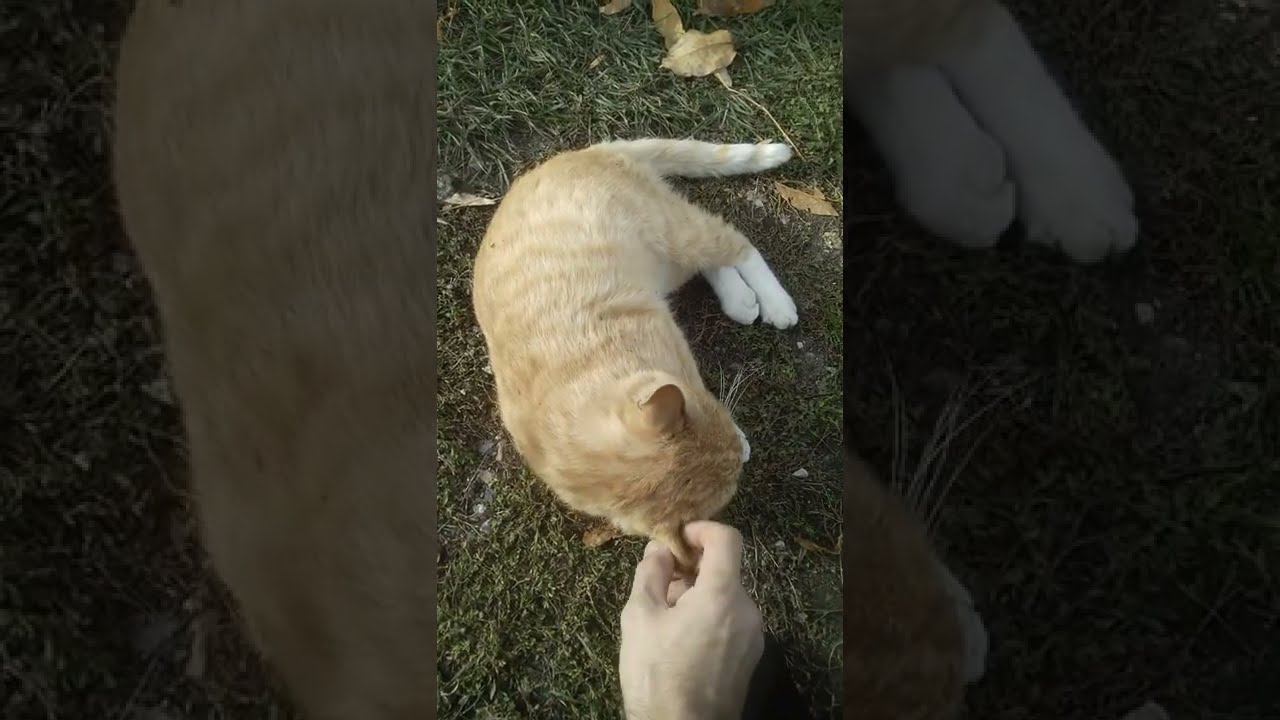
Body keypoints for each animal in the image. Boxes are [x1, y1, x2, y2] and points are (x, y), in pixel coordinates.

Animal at [471, 138, 797, 570]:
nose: (740, 450)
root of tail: (583, 151)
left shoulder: (670, 340)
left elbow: (693, 381)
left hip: (671, 232)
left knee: (736, 244)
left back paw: (776, 302)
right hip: (668, 263)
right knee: (711, 264)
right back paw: (740, 300)